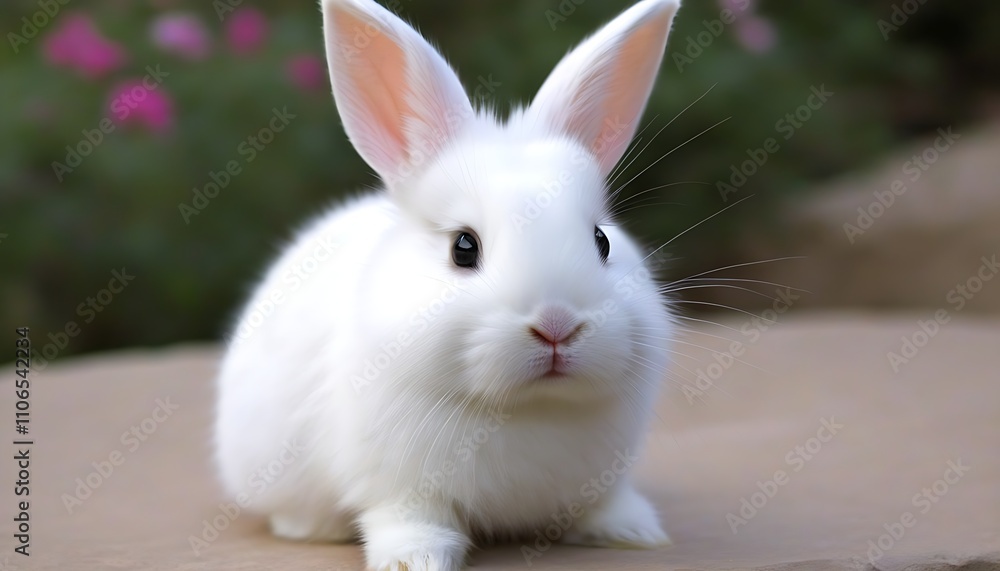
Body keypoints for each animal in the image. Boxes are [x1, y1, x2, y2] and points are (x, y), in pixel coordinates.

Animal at [214, 0, 682, 569]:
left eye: (602, 241)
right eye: (464, 247)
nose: (556, 325)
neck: (524, 409)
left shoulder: (602, 477)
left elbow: (602, 503)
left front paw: (634, 531)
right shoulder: (399, 487)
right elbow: (410, 520)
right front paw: (413, 560)